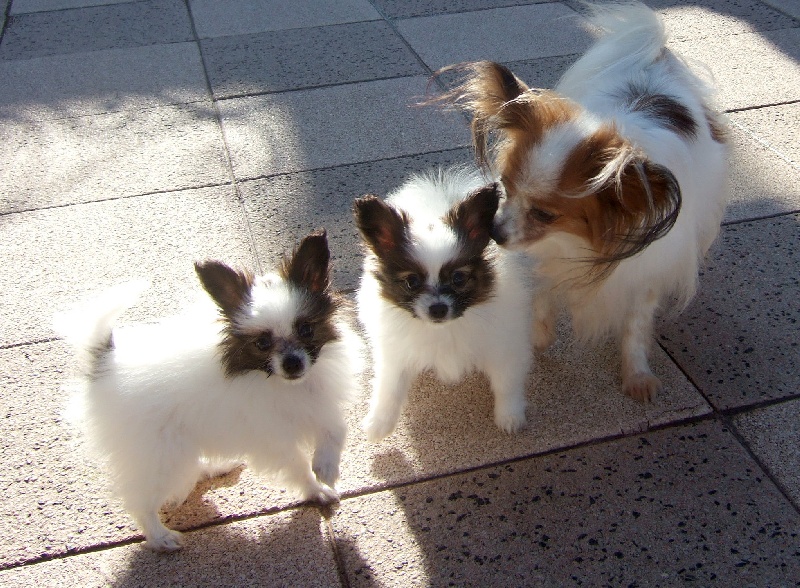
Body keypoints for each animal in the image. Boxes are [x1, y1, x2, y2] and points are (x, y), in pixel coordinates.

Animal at [434, 3, 728, 400]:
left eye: (545, 214)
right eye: (504, 187)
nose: (494, 233)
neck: (575, 242)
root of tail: (653, 60)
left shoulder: (646, 272)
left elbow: (635, 326)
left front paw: (637, 375)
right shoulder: (544, 255)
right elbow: (542, 291)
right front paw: (539, 335)